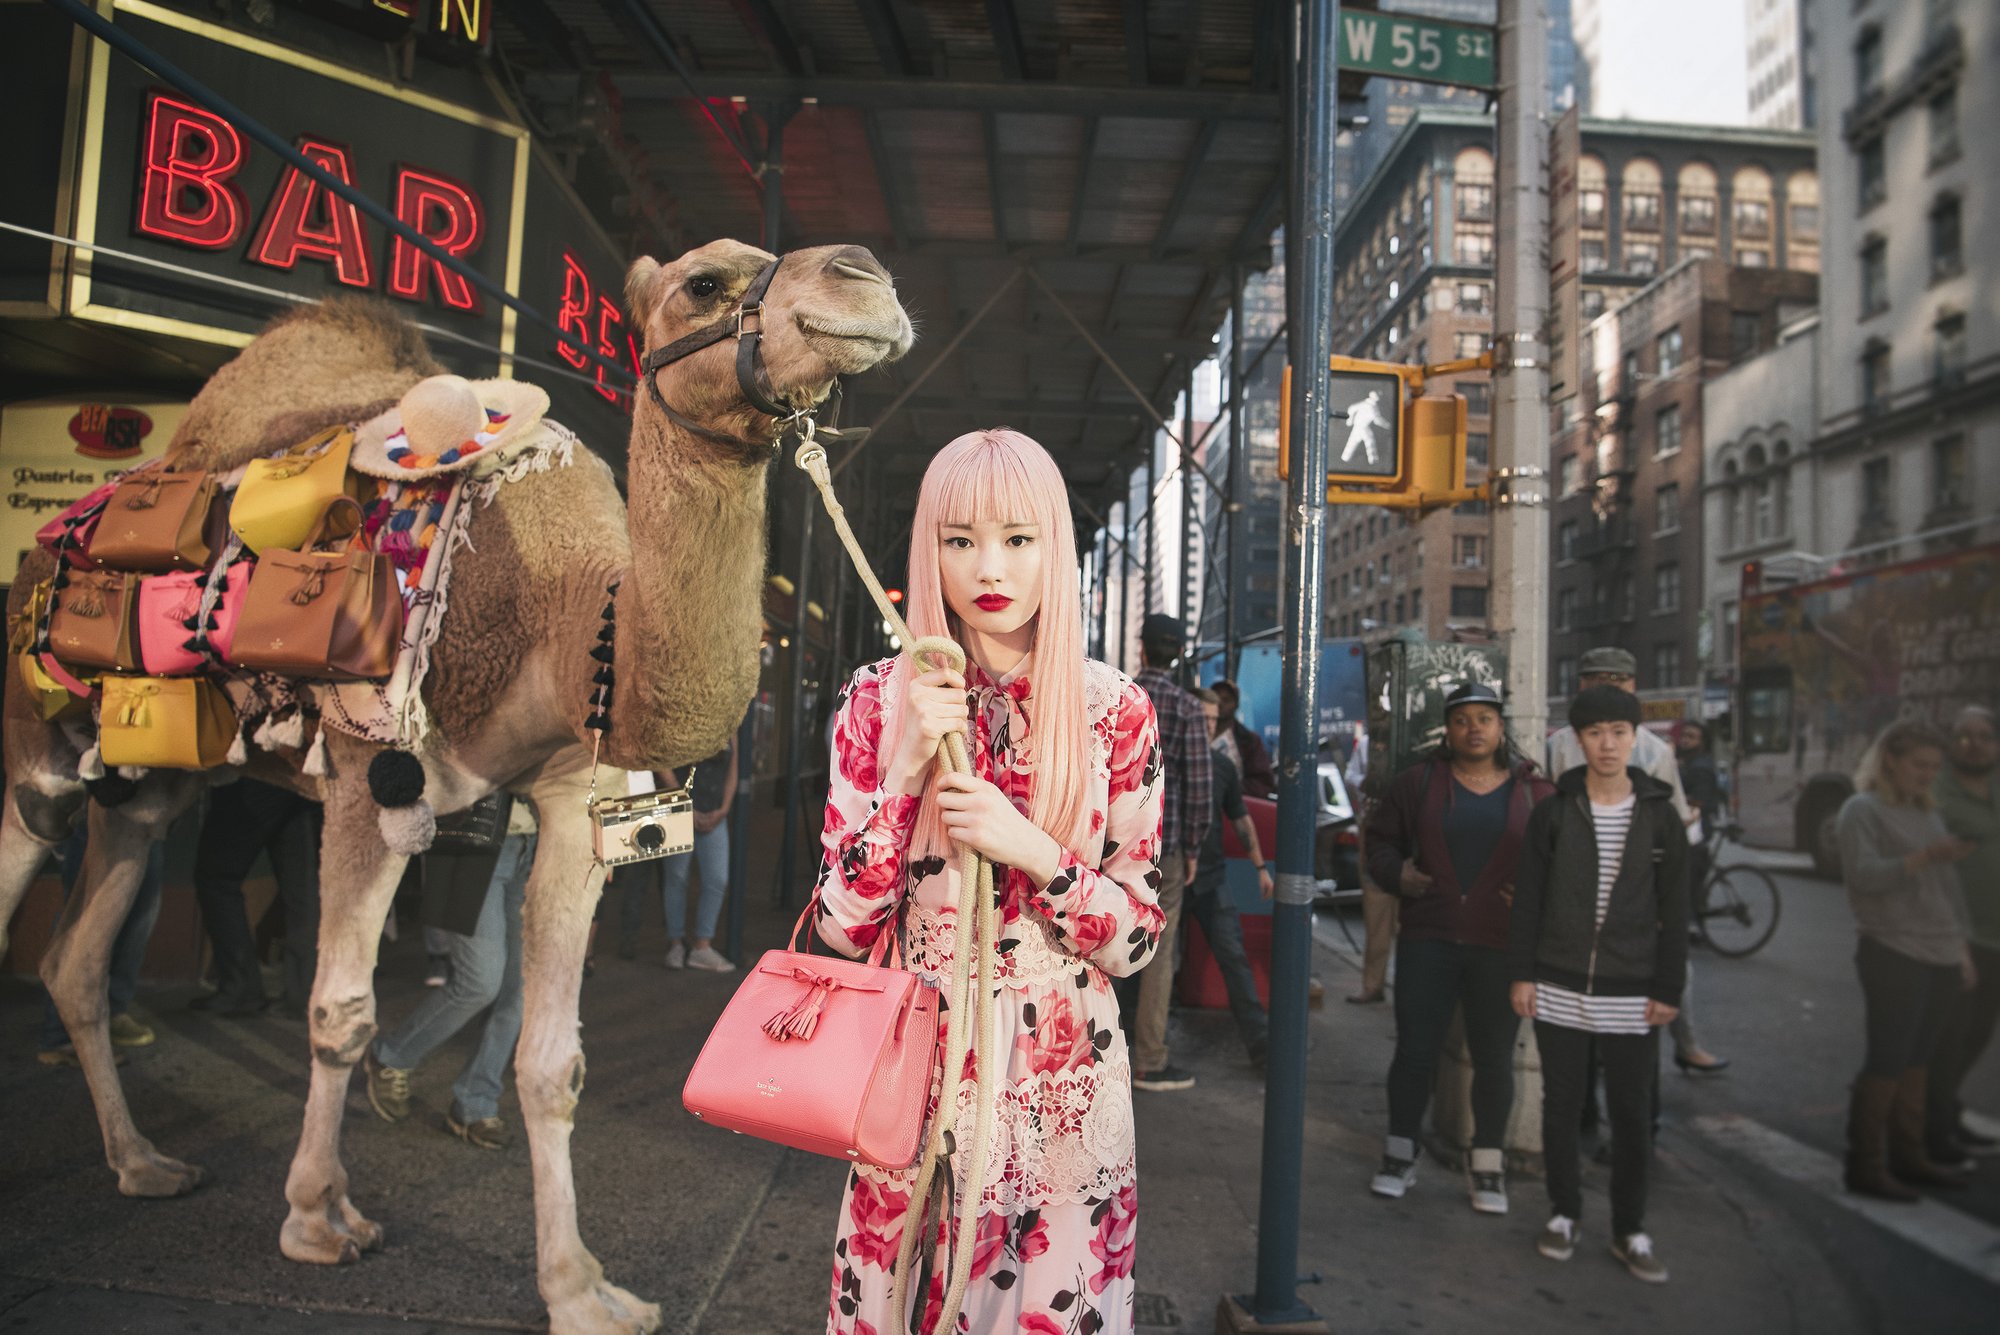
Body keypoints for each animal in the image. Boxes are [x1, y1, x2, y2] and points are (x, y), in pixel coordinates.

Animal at [1, 242, 916, 1335]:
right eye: (703, 282)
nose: (864, 278)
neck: (566, 619)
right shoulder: (364, 777)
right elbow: (340, 1013)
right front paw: (318, 1219)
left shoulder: (572, 805)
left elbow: (553, 1062)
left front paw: (582, 1289)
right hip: (35, 747)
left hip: (145, 790)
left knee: (76, 955)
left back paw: (144, 1162)